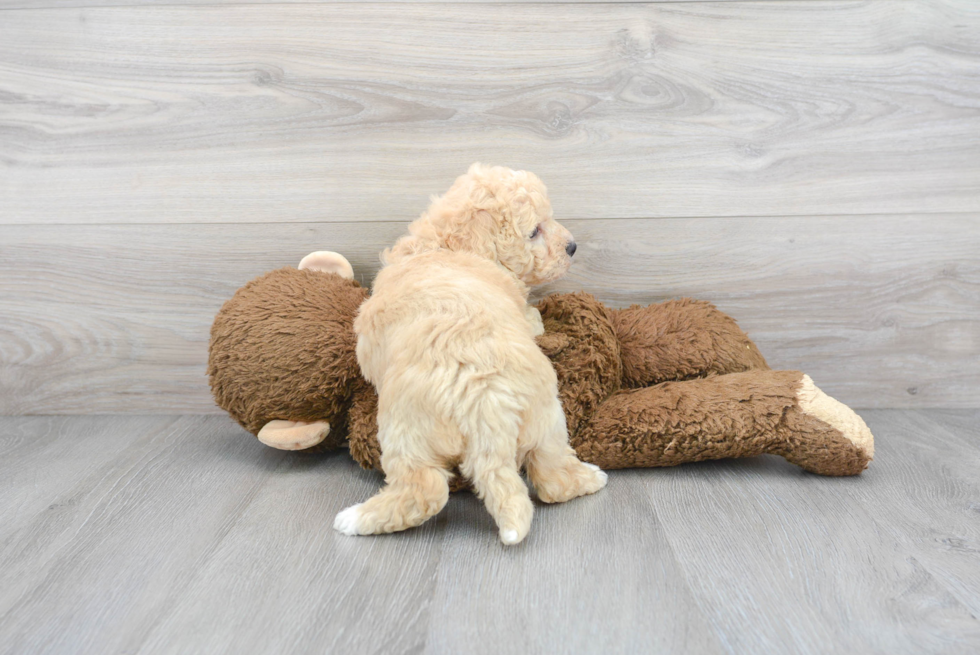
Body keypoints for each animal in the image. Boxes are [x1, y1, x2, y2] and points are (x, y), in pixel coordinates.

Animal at [340, 165, 608, 548]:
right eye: (534, 230)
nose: (572, 246)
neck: (446, 243)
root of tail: (484, 402)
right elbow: (531, 316)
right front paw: (538, 315)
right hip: (546, 416)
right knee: (551, 474)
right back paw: (590, 478)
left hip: (405, 433)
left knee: (423, 490)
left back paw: (356, 519)